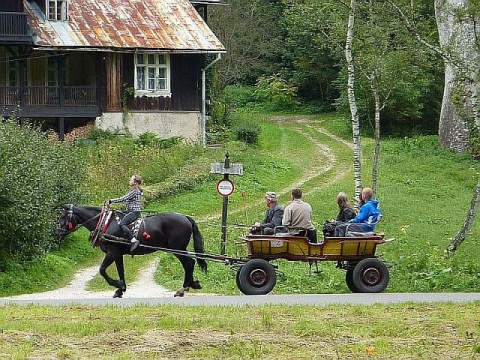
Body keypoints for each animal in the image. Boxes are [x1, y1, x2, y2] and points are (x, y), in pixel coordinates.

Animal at [55, 204, 207, 300]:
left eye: (63, 217)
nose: (57, 233)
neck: (106, 223)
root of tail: (185, 218)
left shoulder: (112, 253)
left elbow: (102, 270)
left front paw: (117, 284)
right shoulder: (118, 254)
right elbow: (120, 271)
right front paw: (120, 289)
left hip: (177, 248)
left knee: (189, 263)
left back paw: (184, 288)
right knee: (189, 263)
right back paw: (191, 285)